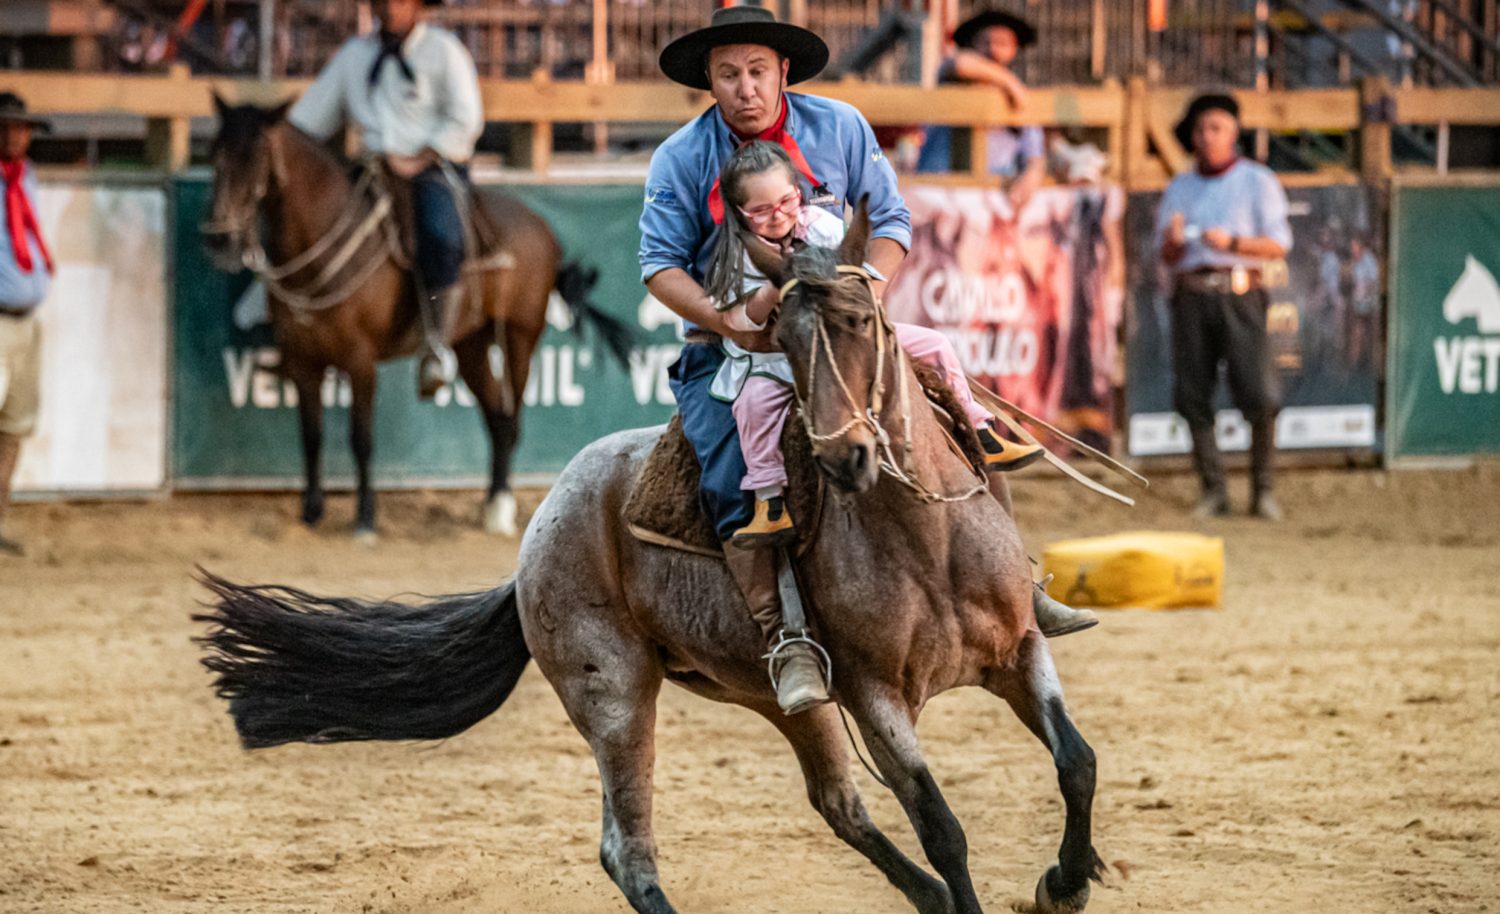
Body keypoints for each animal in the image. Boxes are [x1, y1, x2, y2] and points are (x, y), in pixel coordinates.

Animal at [195, 202, 1106, 914]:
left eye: (858, 322)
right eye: (783, 336)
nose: (846, 457)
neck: (926, 541)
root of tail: (539, 530)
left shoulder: (1019, 652)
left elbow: (1076, 762)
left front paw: (1066, 880)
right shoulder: (877, 697)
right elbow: (942, 824)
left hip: (780, 696)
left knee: (838, 803)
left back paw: (926, 897)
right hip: (615, 694)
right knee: (628, 851)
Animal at [201, 96, 632, 538]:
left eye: (255, 157)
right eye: (215, 155)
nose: (218, 238)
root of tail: (543, 229)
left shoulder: (360, 360)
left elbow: (361, 438)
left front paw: (365, 518)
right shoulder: (302, 358)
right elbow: (311, 435)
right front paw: (311, 512)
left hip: (519, 336)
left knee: (511, 420)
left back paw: (501, 506)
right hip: (472, 344)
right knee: (495, 418)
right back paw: (490, 504)